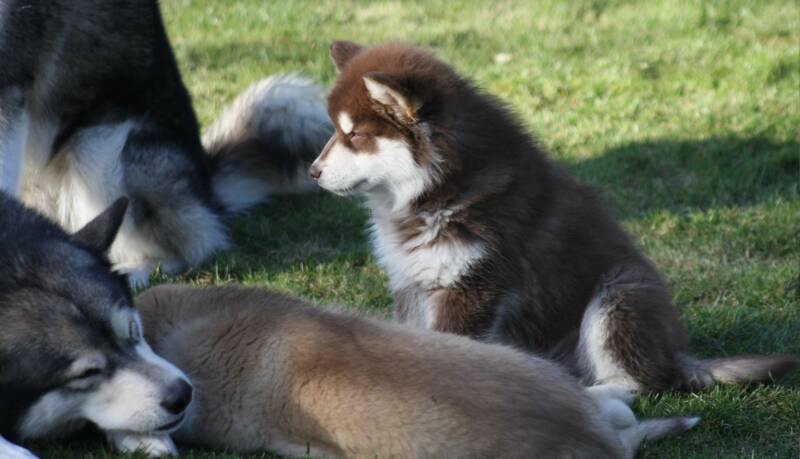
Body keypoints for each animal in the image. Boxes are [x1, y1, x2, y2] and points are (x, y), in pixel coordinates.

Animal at [308, 40, 800, 396]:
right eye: (335, 131)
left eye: (355, 135)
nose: (312, 171)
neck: (437, 190)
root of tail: (677, 353)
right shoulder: (412, 283)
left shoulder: (473, 287)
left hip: (620, 295)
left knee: (643, 382)